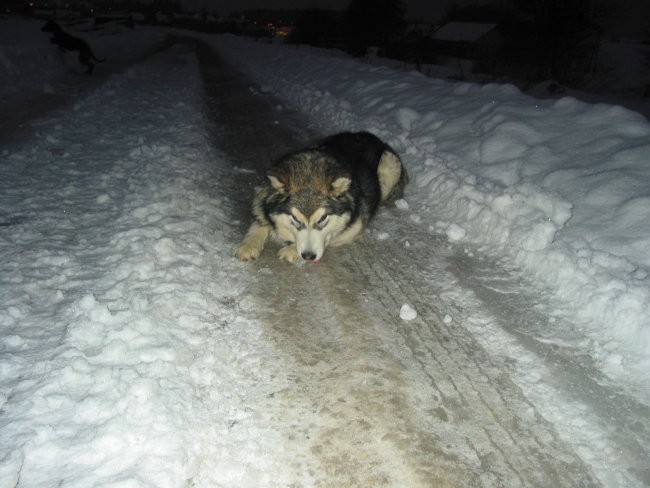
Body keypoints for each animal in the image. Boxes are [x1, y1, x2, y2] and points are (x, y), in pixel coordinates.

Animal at [234, 131, 404, 264]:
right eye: (295, 219)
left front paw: (291, 249)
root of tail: (370, 136)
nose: (308, 256)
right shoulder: (262, 197)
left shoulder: (355, 225)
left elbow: (330, 236)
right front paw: (248, 245)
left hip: (389, 161)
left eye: (322, 219)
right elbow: (258, 221)